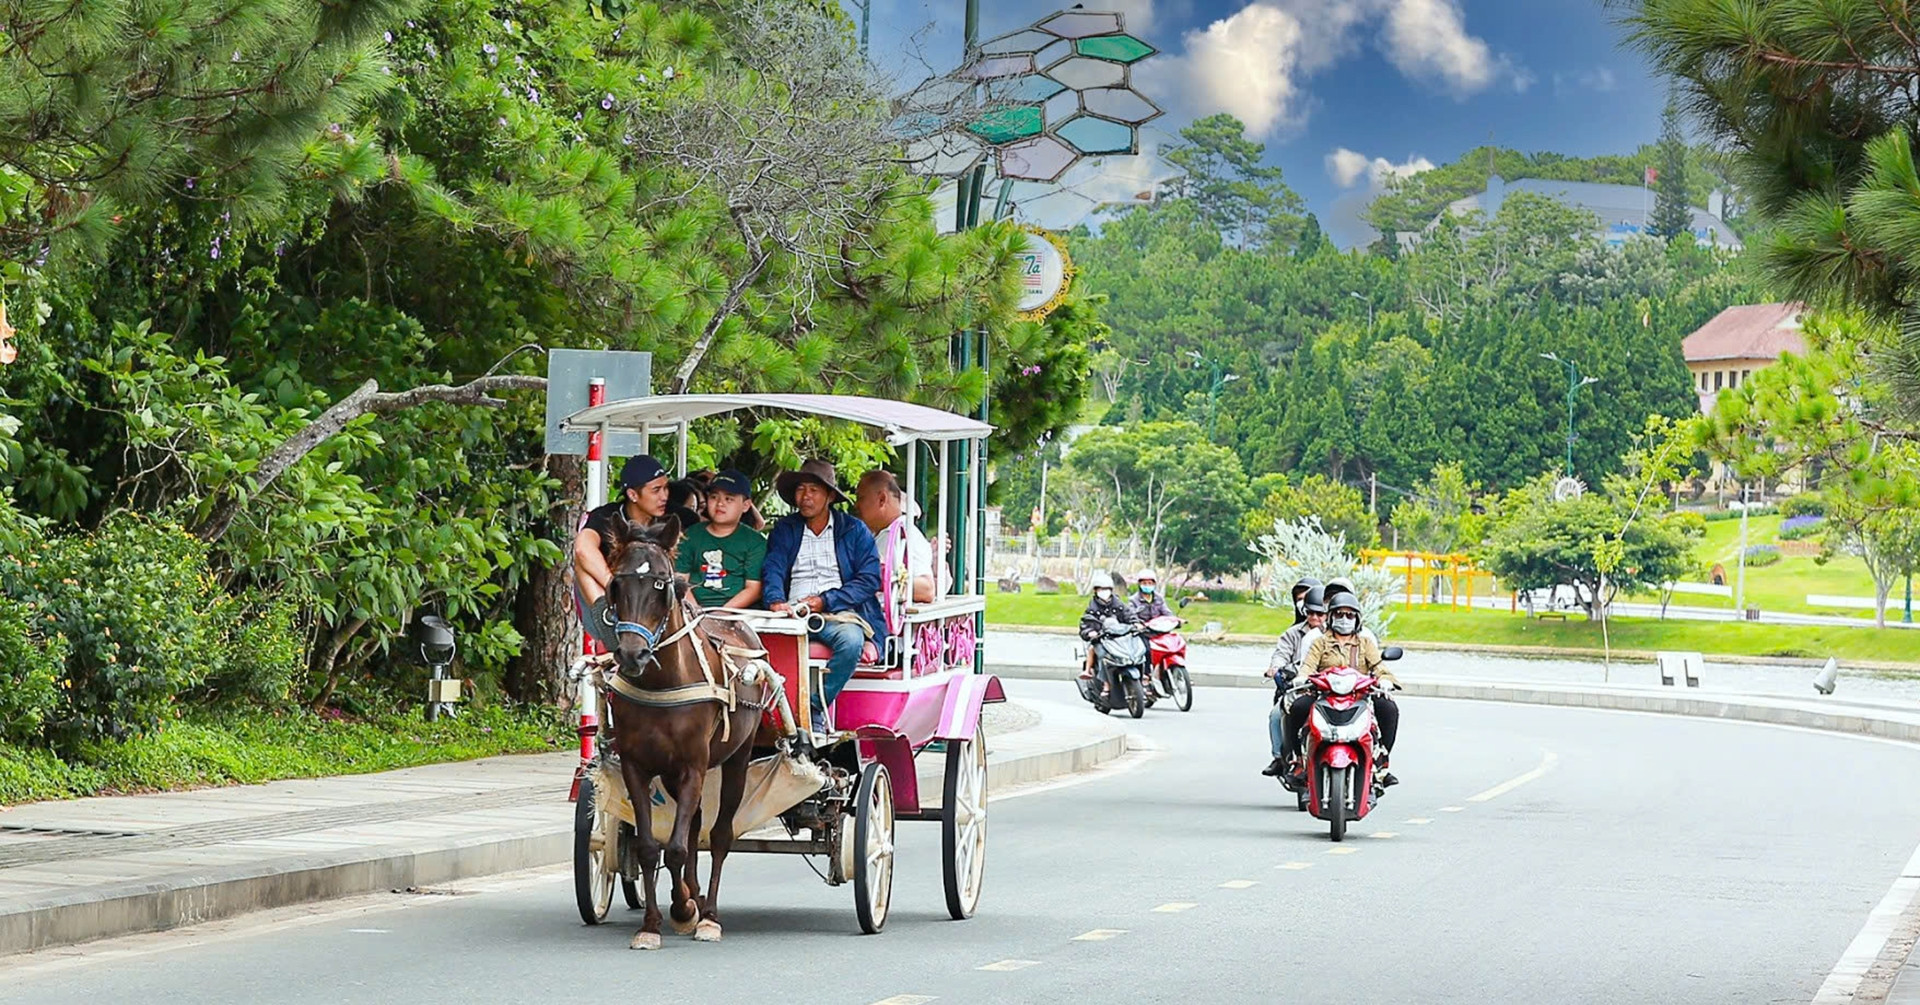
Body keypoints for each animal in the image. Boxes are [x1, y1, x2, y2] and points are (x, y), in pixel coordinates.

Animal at [599, 514, 764, 949]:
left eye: (662, 584)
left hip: (736, 757)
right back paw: (693, 894)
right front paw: (653, 922)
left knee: (719, 834)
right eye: (616, 583)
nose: (632, 654)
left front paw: (684, 909)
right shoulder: (636, 766)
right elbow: (648, 847)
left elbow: (674, 847)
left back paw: (708, 915)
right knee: (695, 824)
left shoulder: (693, 764)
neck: (662, 682)